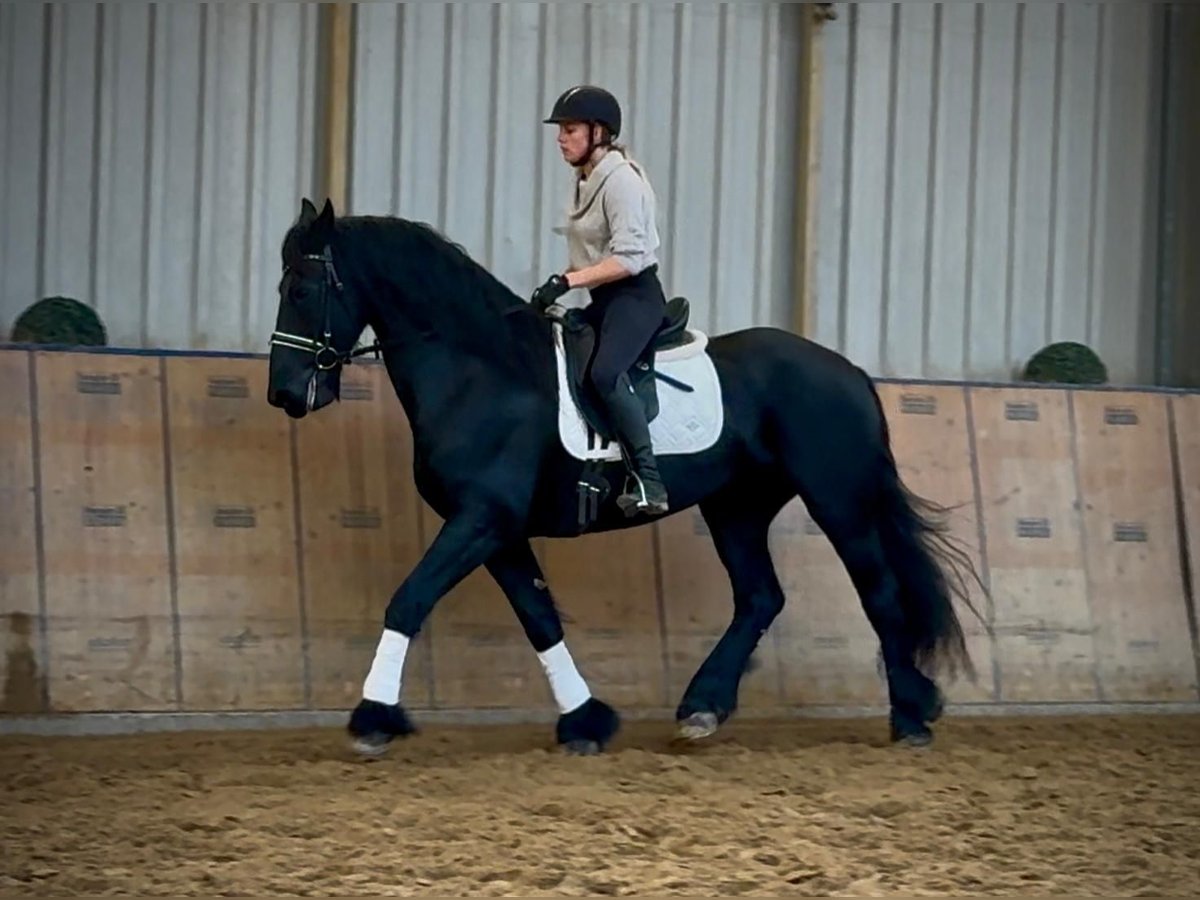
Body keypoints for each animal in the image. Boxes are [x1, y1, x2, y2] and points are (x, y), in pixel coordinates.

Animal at [265, 197, 984, 756]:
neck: (483, 371)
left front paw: (372, 719)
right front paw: (585, 721)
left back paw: (909, 716)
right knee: (760, 597)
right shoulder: (498, 530)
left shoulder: (481, 519)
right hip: (737, 506)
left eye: (301, 291)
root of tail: (849, 370)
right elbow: (539, 618)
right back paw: (703, 708)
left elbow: (409, 599)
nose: (285, 394)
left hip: (838, 500)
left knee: (878, 593)